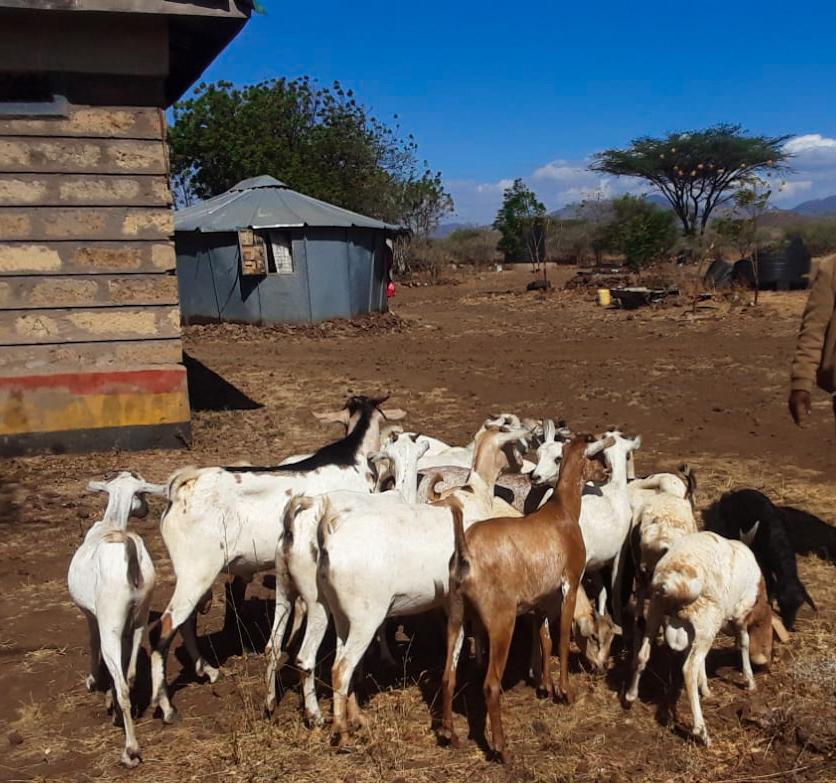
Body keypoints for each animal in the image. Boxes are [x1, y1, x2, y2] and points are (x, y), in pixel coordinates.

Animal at [68, 472, 165, 767]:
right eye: (141, 494)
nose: (146, 509)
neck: (112, 523)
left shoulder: (92, 614)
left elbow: (92, 642)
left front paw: (93, 681)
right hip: (139, 615)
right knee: (129, 674)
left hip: (110, 618)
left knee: (122, 683)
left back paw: (130, 750)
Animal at [150, 395, 405, 724]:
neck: (353, 458)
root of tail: (183, 487)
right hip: (197, 570)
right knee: (165, 627)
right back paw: (168, 708)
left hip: (193, 574)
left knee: (186, 621)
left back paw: (208, 671)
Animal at [439, 435, 614, 764]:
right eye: (596, 456)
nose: (607, 474)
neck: (561, 512)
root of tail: (466, 553)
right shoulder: (570, 583)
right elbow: (561, 638)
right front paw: (565, 692)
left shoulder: (541, 600)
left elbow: (544, 638)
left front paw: (545, 686)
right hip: (501, 622)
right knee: (490, 685)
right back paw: (501, 748)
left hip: (456, 616)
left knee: (448, 676)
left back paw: (450, 736)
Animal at [625, 531, 788, 746]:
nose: (767, 665)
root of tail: (671, 582)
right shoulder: (741, 613)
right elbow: (744, 642)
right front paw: (750, 681)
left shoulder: (693, 632)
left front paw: (706, 689)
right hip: (707, 618)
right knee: (688, 669)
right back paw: (701, 731)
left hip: (656, 613)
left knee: (643, 655)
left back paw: (630, 695)